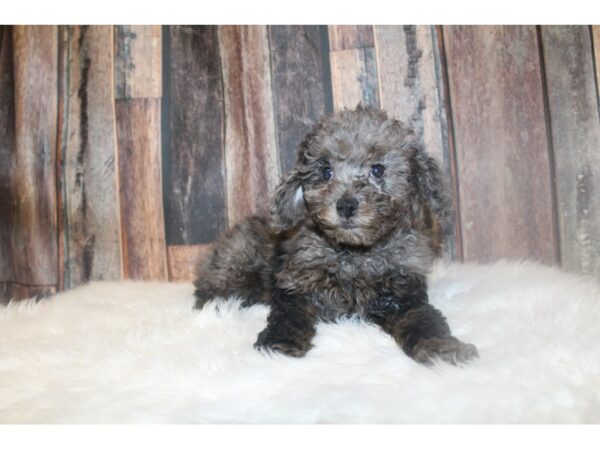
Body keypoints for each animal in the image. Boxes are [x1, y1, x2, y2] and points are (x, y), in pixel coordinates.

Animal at [196, 106, 478, 366]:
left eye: (378, 170)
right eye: (326, 172)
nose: (345, 206)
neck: (354, 255)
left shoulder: (404, 293)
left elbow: (423, 320)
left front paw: (442, 348)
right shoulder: (294, 286)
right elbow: (289, 316)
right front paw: (278, 345)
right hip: (236, 260)